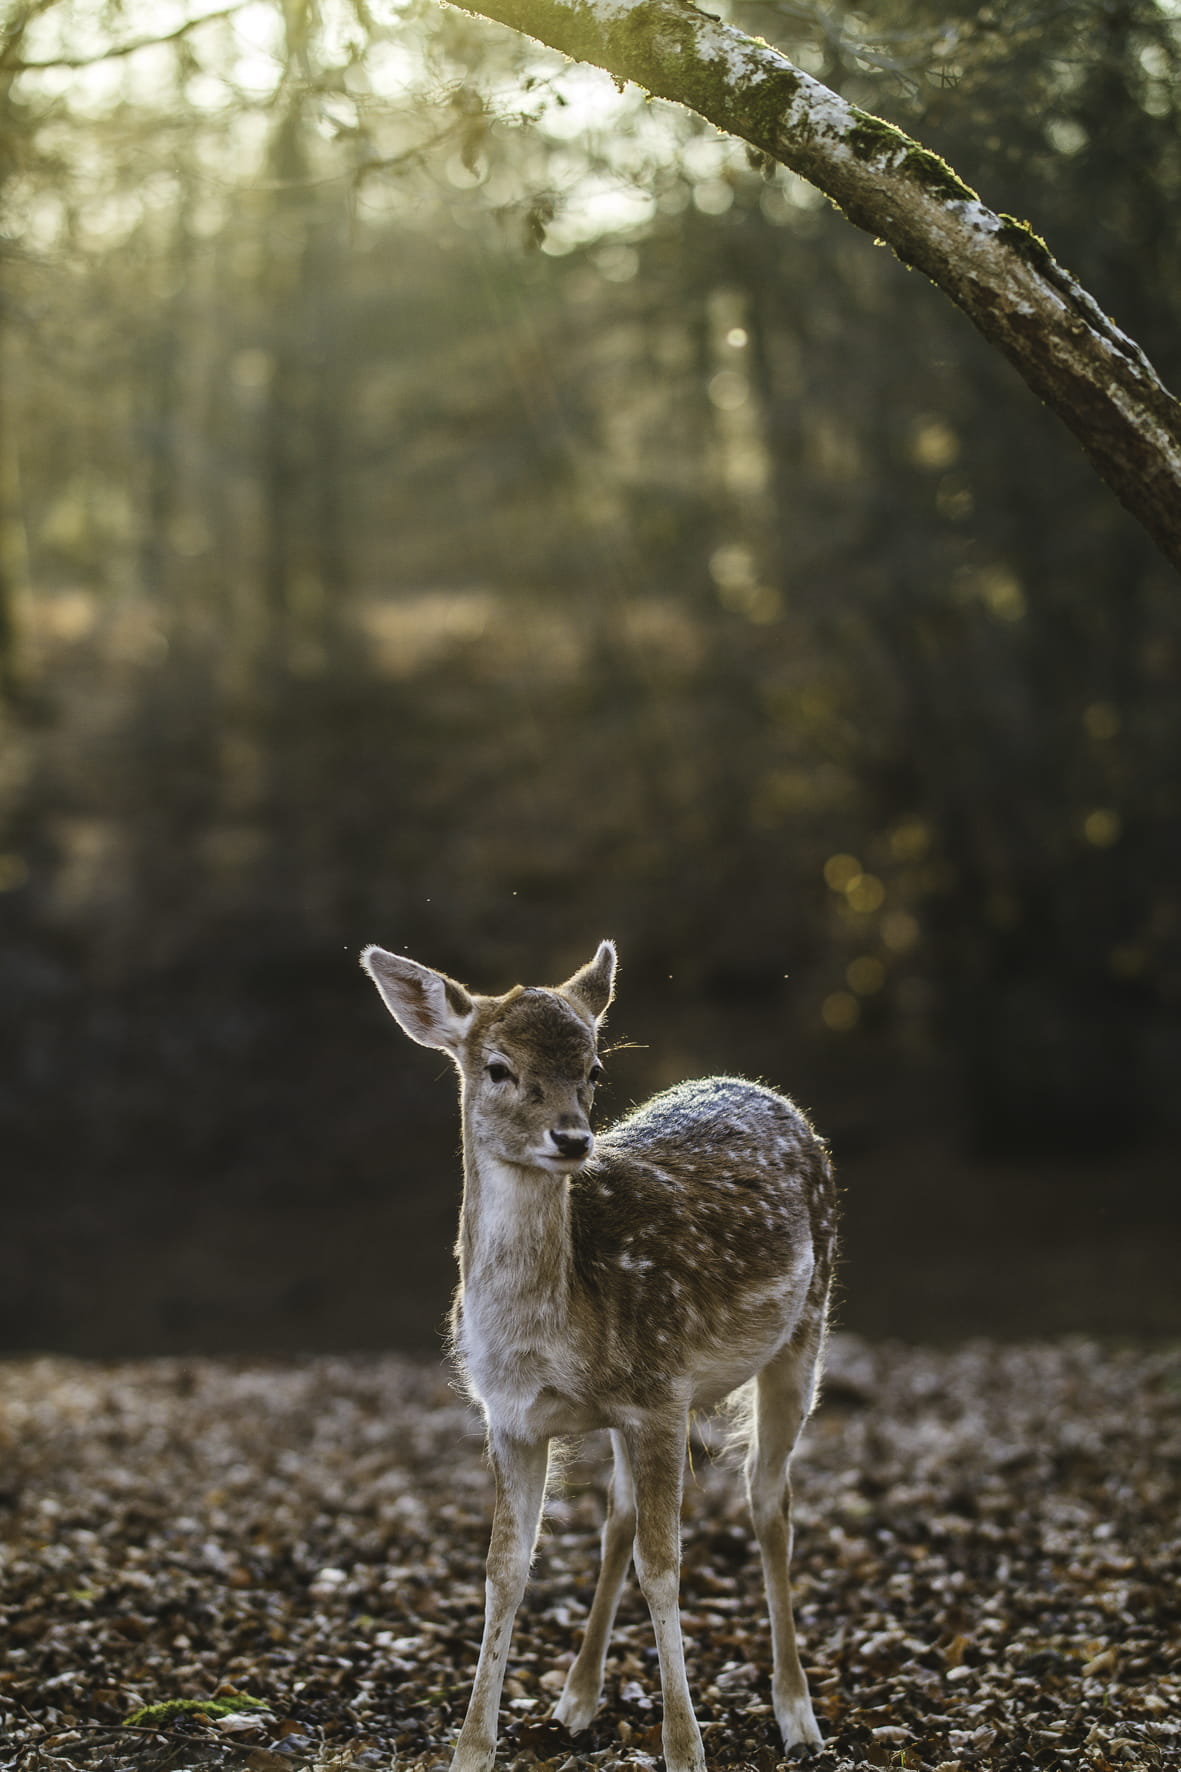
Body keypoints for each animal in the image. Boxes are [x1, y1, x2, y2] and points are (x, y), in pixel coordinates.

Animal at [360, 939, 837, 1772]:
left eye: (593, 1070)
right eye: (497, 1066)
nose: (573, 1138)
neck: (548, 1338)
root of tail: (766, 1092)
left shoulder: (662, 1393)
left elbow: (664, 1567)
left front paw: (685, 1749)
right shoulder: (510, 1419)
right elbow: (505, 1570)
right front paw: (471, 1749)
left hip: (805, 1329)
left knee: (768, 1502)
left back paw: (797, 1716)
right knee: (618, 1516)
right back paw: (576, 1699)